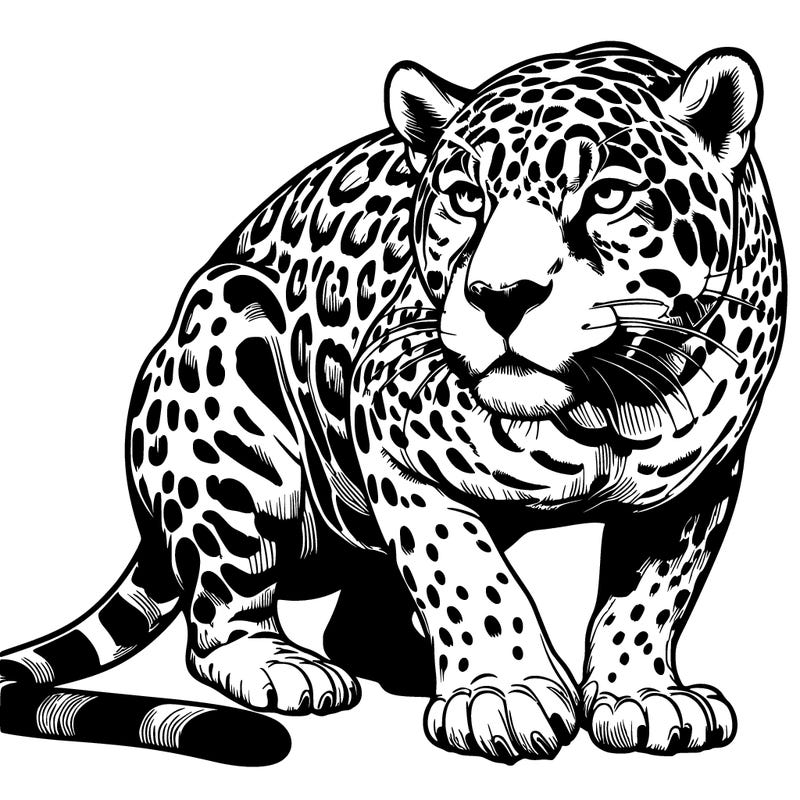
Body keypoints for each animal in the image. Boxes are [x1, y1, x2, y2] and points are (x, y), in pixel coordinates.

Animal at [0, 41, 786, 765]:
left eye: (608, 197)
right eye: (467, 198)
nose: (501, 298)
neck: (604, 404)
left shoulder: (700, 478)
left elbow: (652, 594)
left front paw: (640, 693)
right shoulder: (388, 422)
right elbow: (465, 569)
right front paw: (503, 694)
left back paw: (408, 665)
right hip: (227, 374)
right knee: (223, 614)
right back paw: (284, 667)